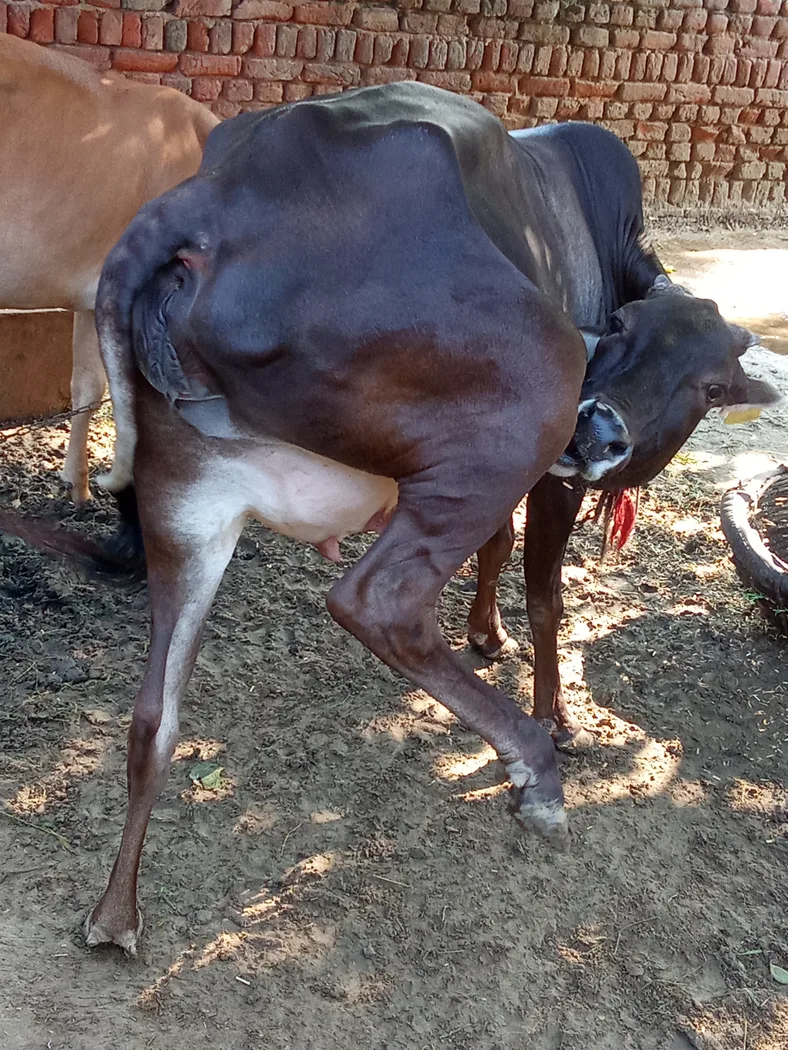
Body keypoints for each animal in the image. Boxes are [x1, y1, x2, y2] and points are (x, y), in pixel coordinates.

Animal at [0, 84, 775, 956]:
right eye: (623, 330)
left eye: (710, 383)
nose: (602, 430)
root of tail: (210, 199)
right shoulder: (555, 475)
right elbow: (545, 590)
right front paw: (556, 714)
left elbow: (499, 547)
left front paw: (486, 633)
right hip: (520, 416)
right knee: (379, 603)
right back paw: (535, 771)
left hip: (186, 507)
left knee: (153, 720)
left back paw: (114, 915)